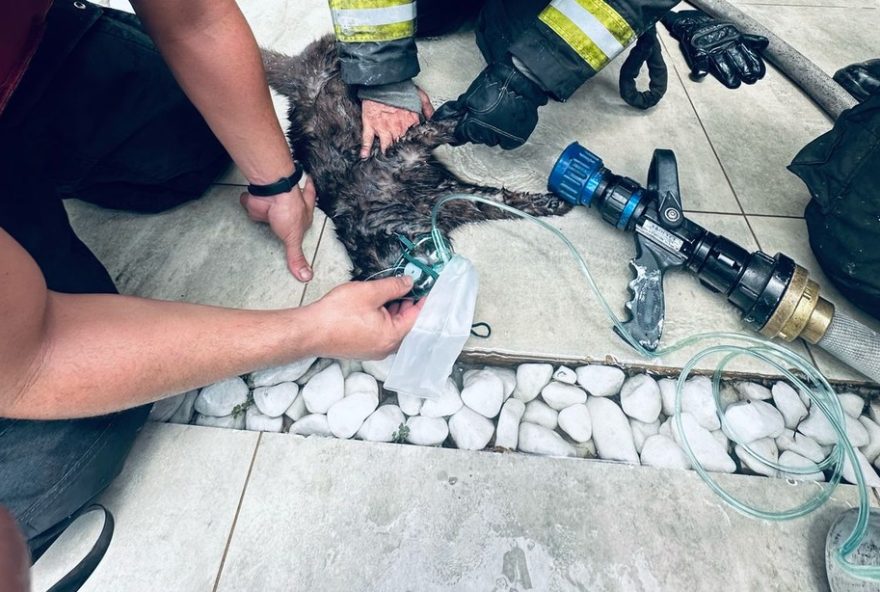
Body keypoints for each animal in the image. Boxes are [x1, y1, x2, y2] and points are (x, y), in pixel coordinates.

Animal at [260, 35, 572, 280]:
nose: (433, 271)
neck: (401, 206)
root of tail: (298, 80)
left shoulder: (408, 149)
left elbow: (442, 128)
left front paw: (478, 117)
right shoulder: (457, 200)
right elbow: (501, 203)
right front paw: (550, 203)